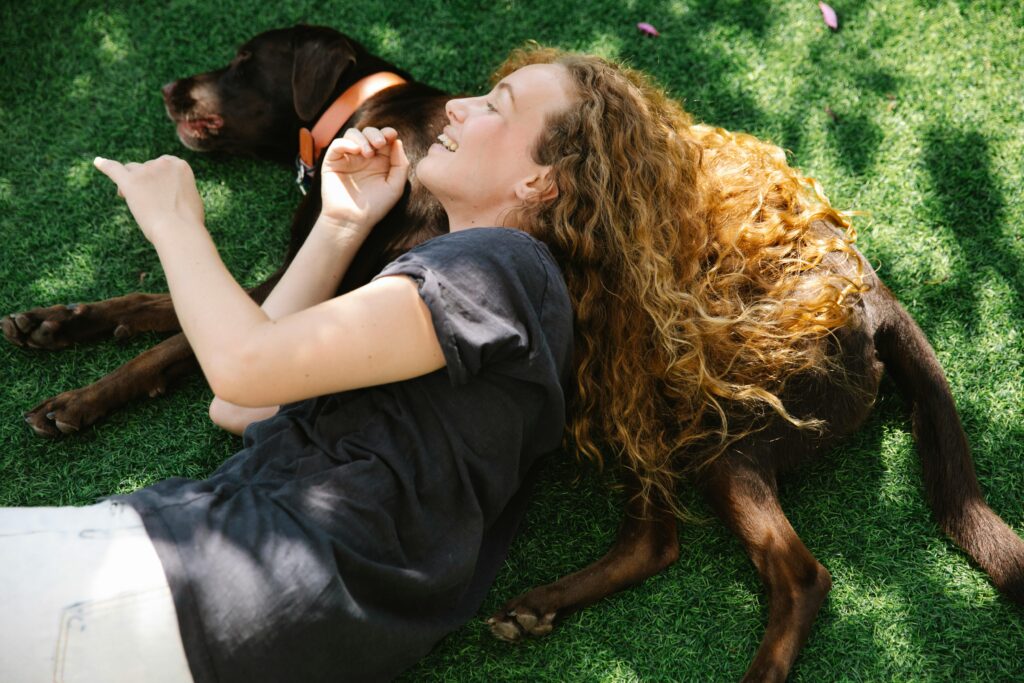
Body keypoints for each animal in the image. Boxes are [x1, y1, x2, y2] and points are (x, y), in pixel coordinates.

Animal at [4, 24, 1019, 679]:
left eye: (244, 62)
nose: (170, 90)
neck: (377, 112)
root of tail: (874, 295)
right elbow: (154, 302)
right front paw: (58, 321)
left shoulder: (316, 300)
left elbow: (179, 336)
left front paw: (76, 400)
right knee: (658, 538)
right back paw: (543, 605)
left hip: (720, 432)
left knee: (796, 572)